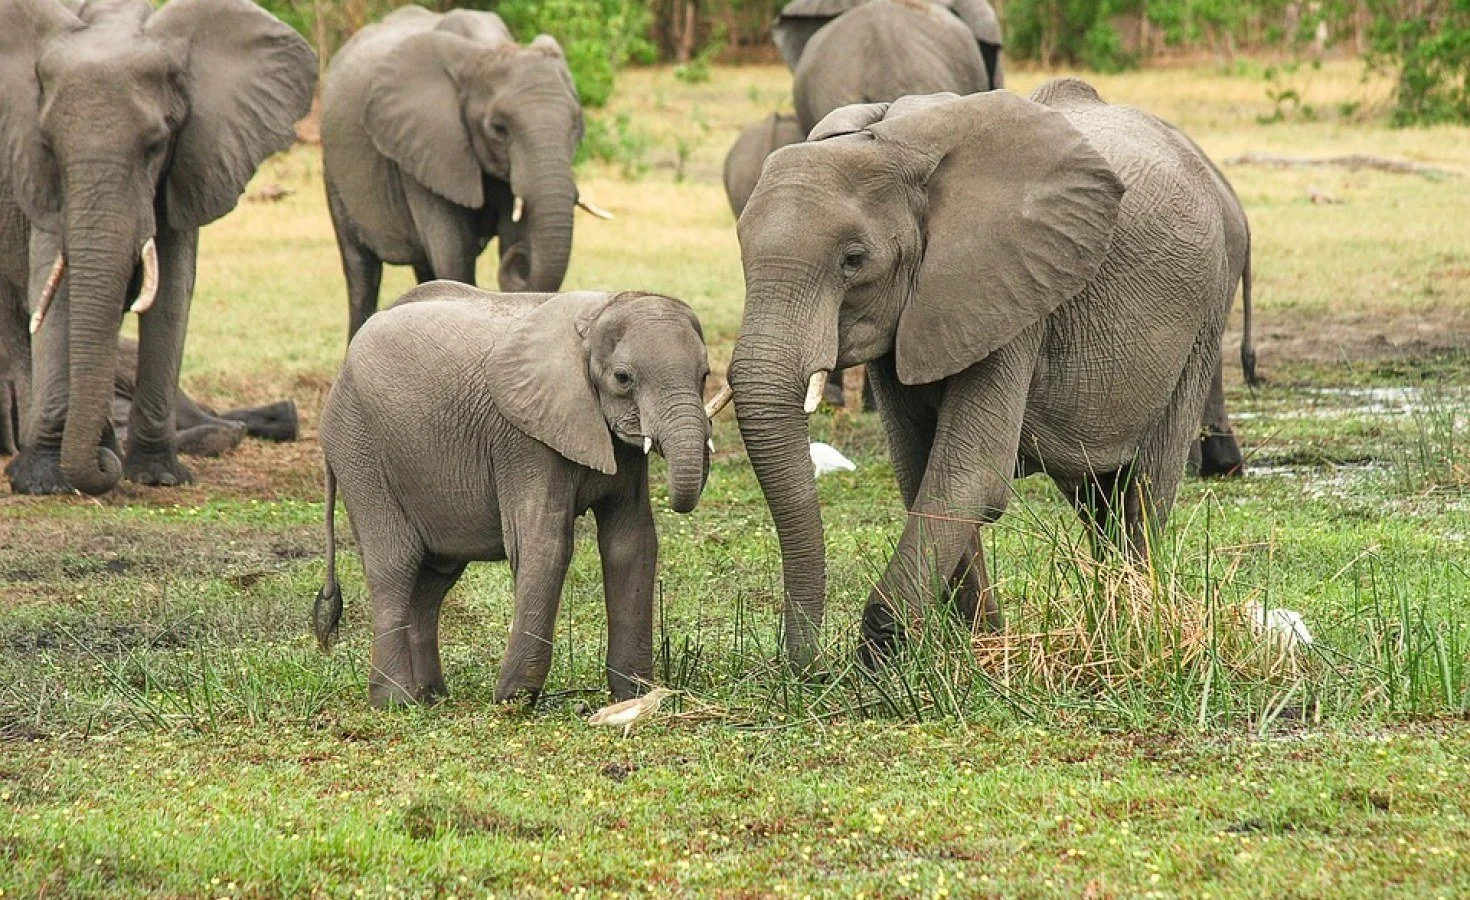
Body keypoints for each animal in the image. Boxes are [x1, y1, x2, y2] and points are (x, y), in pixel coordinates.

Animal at [0, 0, 316, 496]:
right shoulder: (38, 180)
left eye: (155, 146)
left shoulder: (191, 162)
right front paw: (42, 482)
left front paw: (158, 476)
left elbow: (171, 294)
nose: (103, 469)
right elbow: (54, 290)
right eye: (48, 146)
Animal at [313, 283, 714, 707]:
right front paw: (513, 700)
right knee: (395, 564)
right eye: (623, 378)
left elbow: (631, 543)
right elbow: (544, 544)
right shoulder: (523, 439)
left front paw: (635, 696)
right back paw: (395, 702)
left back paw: (432, 697)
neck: (597, 315)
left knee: (434, 578)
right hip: (358, 447)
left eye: (704, 375)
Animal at [323, 5, 605, 341]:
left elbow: (508, 235)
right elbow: (453, 255)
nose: (520, 259)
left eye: (575, 124)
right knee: (362, 271)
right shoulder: (427, 147)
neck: (487, 49)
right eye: (499, 128)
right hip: (334, 172)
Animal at [726, 80, 1239, 670]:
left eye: (853, 260)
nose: (808, 669)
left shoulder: (1013, 289)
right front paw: (978, 647)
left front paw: (883, 655)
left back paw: (1133, 626)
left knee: (1144, 487)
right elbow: (921, 470)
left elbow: (969, 474)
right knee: (1097, 497)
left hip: (1204, 314)